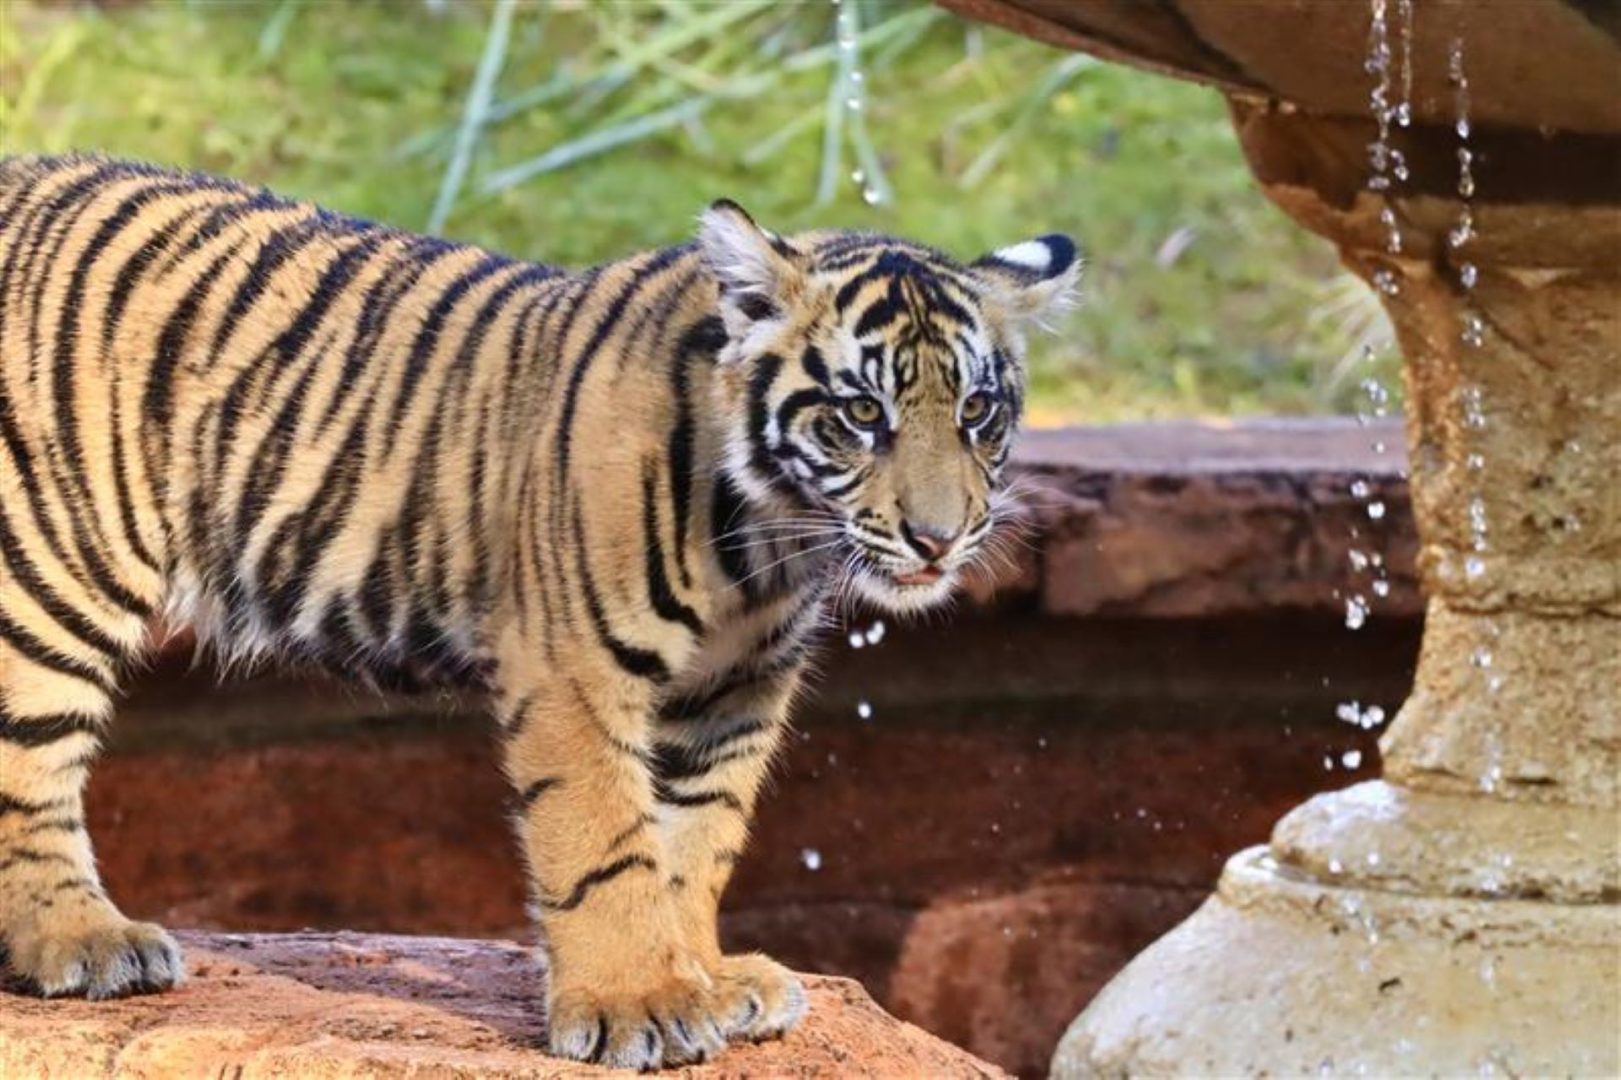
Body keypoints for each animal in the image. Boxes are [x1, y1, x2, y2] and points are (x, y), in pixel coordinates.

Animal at [0, 154, 1078, 1068]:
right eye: (861, 414)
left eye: (977, 413)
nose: (940, 539)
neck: (771, 542)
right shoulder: (576, 666)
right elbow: (604, 839)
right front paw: (641, 1005)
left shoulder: (735, 690)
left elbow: (695, 840)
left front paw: (706, 976)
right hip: (53, 570)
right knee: (33, 767)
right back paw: (85, 942)